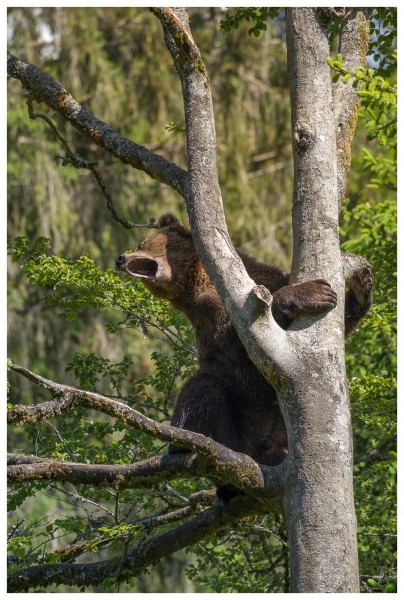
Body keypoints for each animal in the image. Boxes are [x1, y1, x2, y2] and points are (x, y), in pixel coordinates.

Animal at [116, 214, 372, 468]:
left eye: (140, 245)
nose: (120, 258)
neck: (200, 278)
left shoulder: (262, 274)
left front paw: (361, 289)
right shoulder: (208, 310)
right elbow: (239, 339)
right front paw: (312, 292)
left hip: (275, 427)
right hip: (232, 427)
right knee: (202, 388)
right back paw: (183, 446)